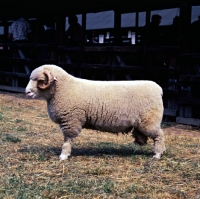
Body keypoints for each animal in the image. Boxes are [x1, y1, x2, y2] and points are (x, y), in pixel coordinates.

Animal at [25, 64, 166, 161]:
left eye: (39, 80)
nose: (27, 92)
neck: (64, 88)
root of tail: (158, 89)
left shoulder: (71, 120)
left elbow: (67, 140)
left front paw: (63, 155)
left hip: (150, 121)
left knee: (159, 135)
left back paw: (158, 154)